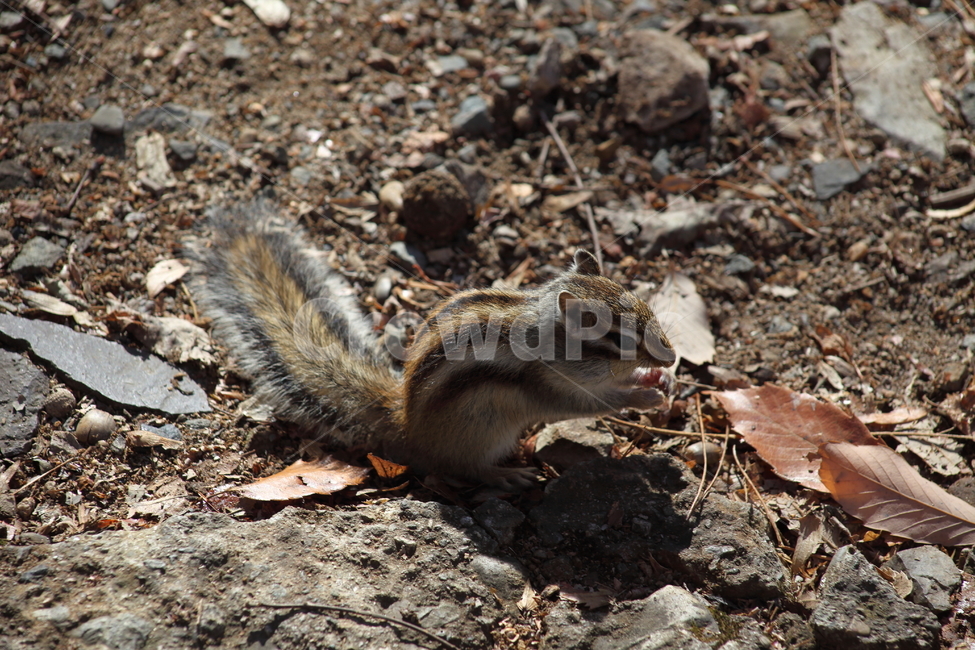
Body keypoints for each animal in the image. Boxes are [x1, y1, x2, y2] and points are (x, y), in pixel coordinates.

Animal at [186, 200, 677, 489]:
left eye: (642, 303)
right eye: (615, 337)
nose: (671, 356)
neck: (547, 339)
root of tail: (404, 423)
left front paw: (657, 378)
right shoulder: (551, 386)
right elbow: (593, 404)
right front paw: (645, 395)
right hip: (483, 427)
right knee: (458, 468)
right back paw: (508, 476)